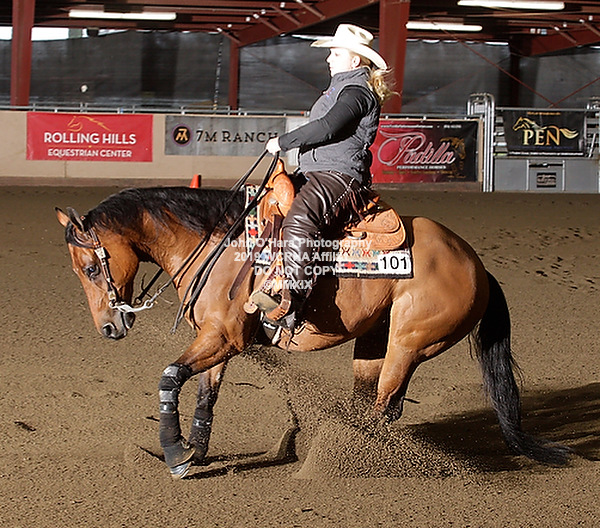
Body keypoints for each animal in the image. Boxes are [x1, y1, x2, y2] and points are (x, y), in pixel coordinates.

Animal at [56, 185, 569, 478]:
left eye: (90, 267)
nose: (109, 327)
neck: (220, 245)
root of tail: (477, 265)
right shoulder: (220, 340)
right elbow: (205, 393)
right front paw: (196, 452)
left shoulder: (222, 339)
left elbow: (170, 377)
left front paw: (174, 454)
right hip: (373, 344)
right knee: (373, 405)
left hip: (410, 344)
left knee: (385, 409)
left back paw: (345, 462)